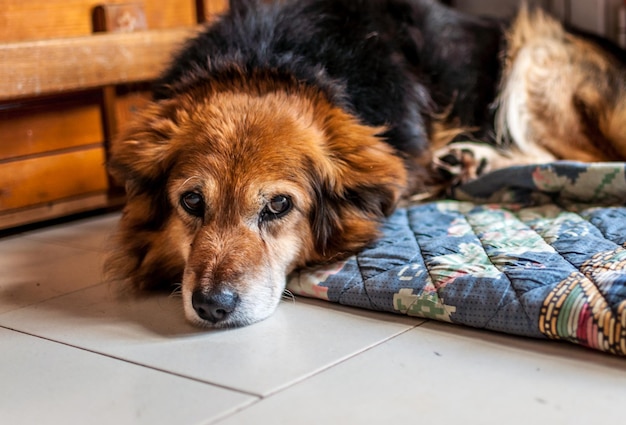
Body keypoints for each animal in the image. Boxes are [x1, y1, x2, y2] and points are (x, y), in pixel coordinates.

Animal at [105, 0, 624, 328]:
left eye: (278, 206)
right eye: (192, 201)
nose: (212, 306)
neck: (269, 61)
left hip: (535, 54)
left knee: (579, 155)